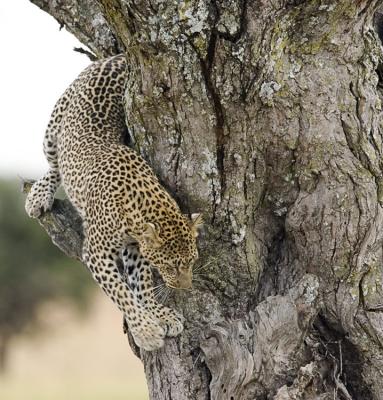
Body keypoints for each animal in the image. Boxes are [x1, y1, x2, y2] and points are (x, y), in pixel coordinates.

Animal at [24, 55, 202, 350]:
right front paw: (145, 330)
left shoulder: (135, 248)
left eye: (192, 261)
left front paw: (160, 314)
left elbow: (141, 284)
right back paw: (38, 195)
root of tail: (115, 58)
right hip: (54, 127)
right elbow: (121, 292)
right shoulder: (96, 253)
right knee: (55, 164)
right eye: (170, 266)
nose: (186, 288)